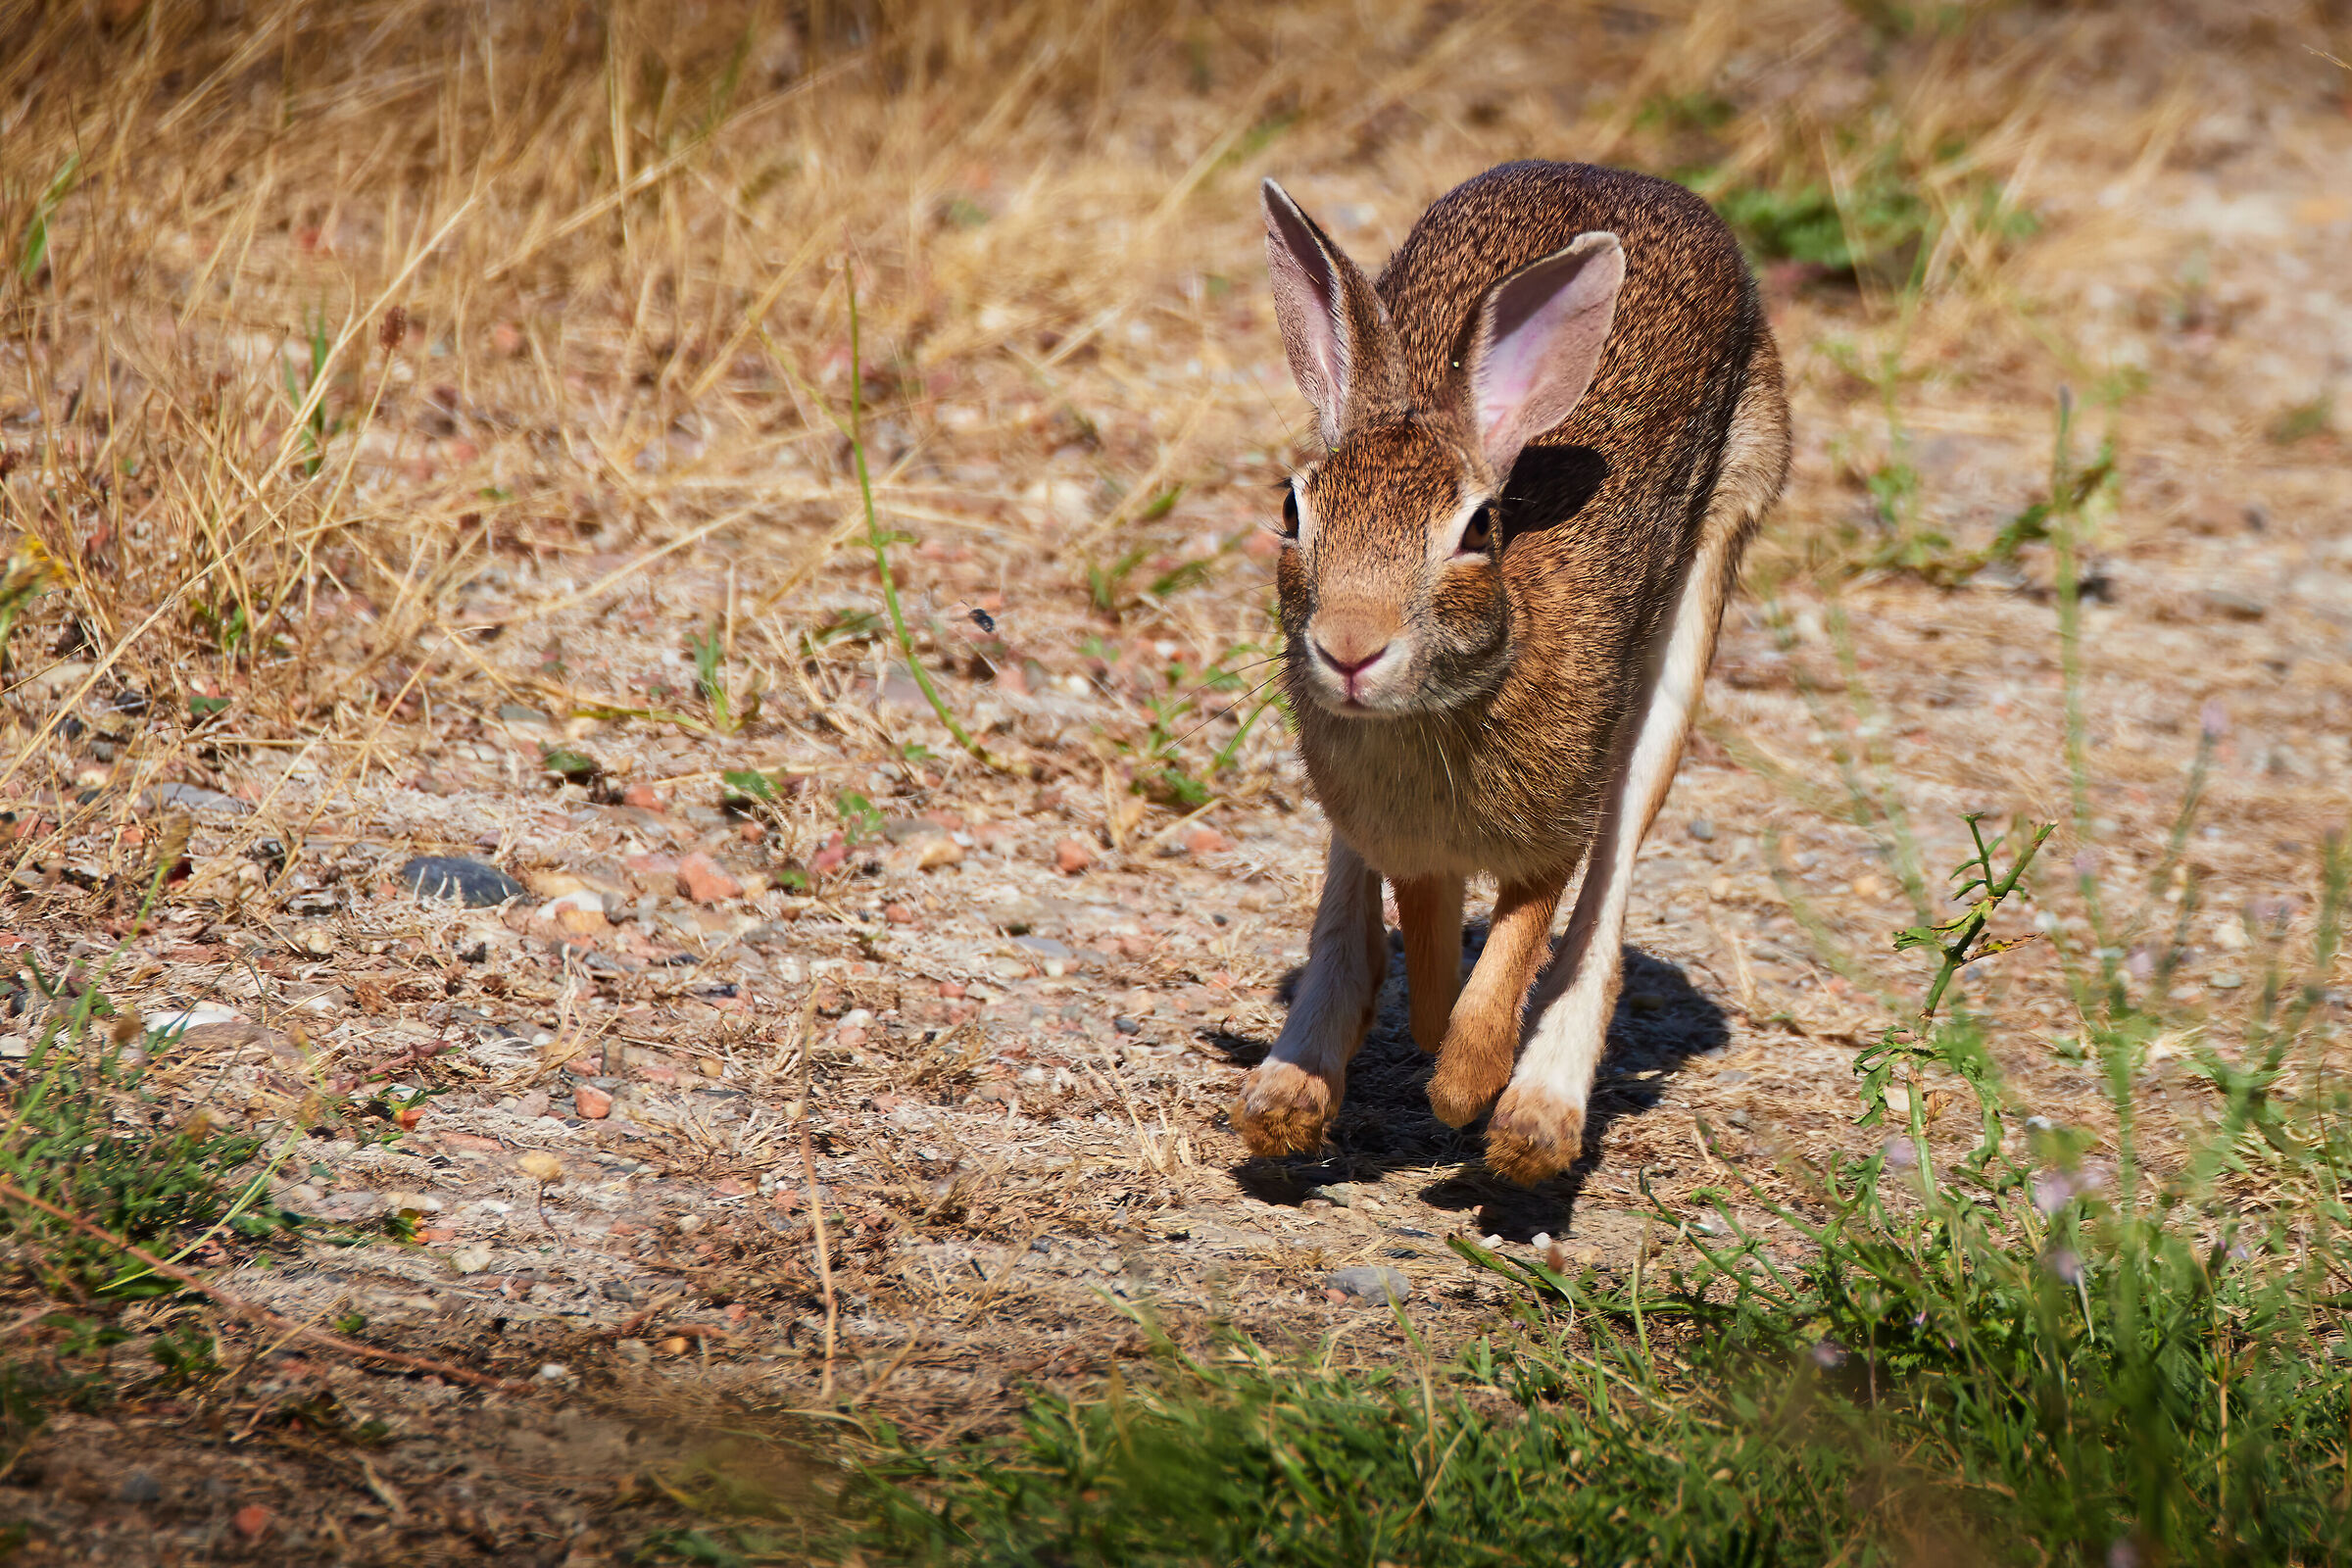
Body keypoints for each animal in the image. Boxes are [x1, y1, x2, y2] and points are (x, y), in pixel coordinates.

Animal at [1232, 161, 1790, 1185]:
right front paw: (1425, 1041)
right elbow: (1422, 939)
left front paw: (1462, 1088)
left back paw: (1537, 1119)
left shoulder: (1555, 828)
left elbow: (1523, 940)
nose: (1349, 648)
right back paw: (1289, 1094)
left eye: (1476, 531)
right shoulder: (1403, 842)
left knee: (1605, 905)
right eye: (1292, 511)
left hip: (1709, 574)